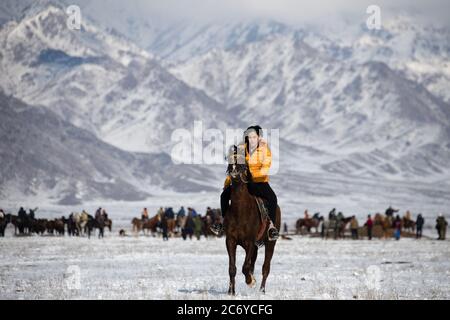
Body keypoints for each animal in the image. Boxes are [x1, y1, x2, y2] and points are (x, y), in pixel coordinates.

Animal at [223, 146, 280, 296]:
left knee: (266, 267)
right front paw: (231, 292)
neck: (240, 211)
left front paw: (250, 281)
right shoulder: (231, 241)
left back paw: (262, 290)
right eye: (230, 158)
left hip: (270, 243)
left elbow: (245, 267)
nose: (234, 168)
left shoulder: (249, 242)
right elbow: (233, 268)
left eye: (243, 161)